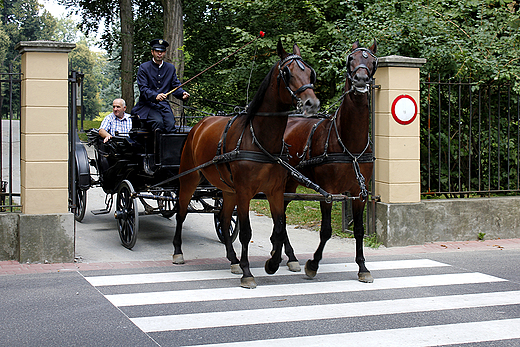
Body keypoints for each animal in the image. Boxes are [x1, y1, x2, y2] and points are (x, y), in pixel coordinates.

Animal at [173, 40, 318, 290]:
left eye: (310, 72)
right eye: (287, 73)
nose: (312, 103)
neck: (261, 140)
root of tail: (199, 124)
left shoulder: (275, 191)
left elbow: (279, 227)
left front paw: (272, 263)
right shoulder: (244, 192)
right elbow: (246, 232)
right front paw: (248, 272)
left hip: (227, 190)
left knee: (223, 220)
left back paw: (232, 260)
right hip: (189, 179)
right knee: (181, 213)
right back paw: (178, 251)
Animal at [284, 40, 378, 284]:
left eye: (373, 61)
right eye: (350, 59)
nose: (361, 80)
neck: (350, 146)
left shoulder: (359, 193)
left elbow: (359, 230)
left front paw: (363, 267)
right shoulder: (328, 192)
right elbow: (326, 230)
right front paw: (313, 264)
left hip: (289, 183)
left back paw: (287, 255)